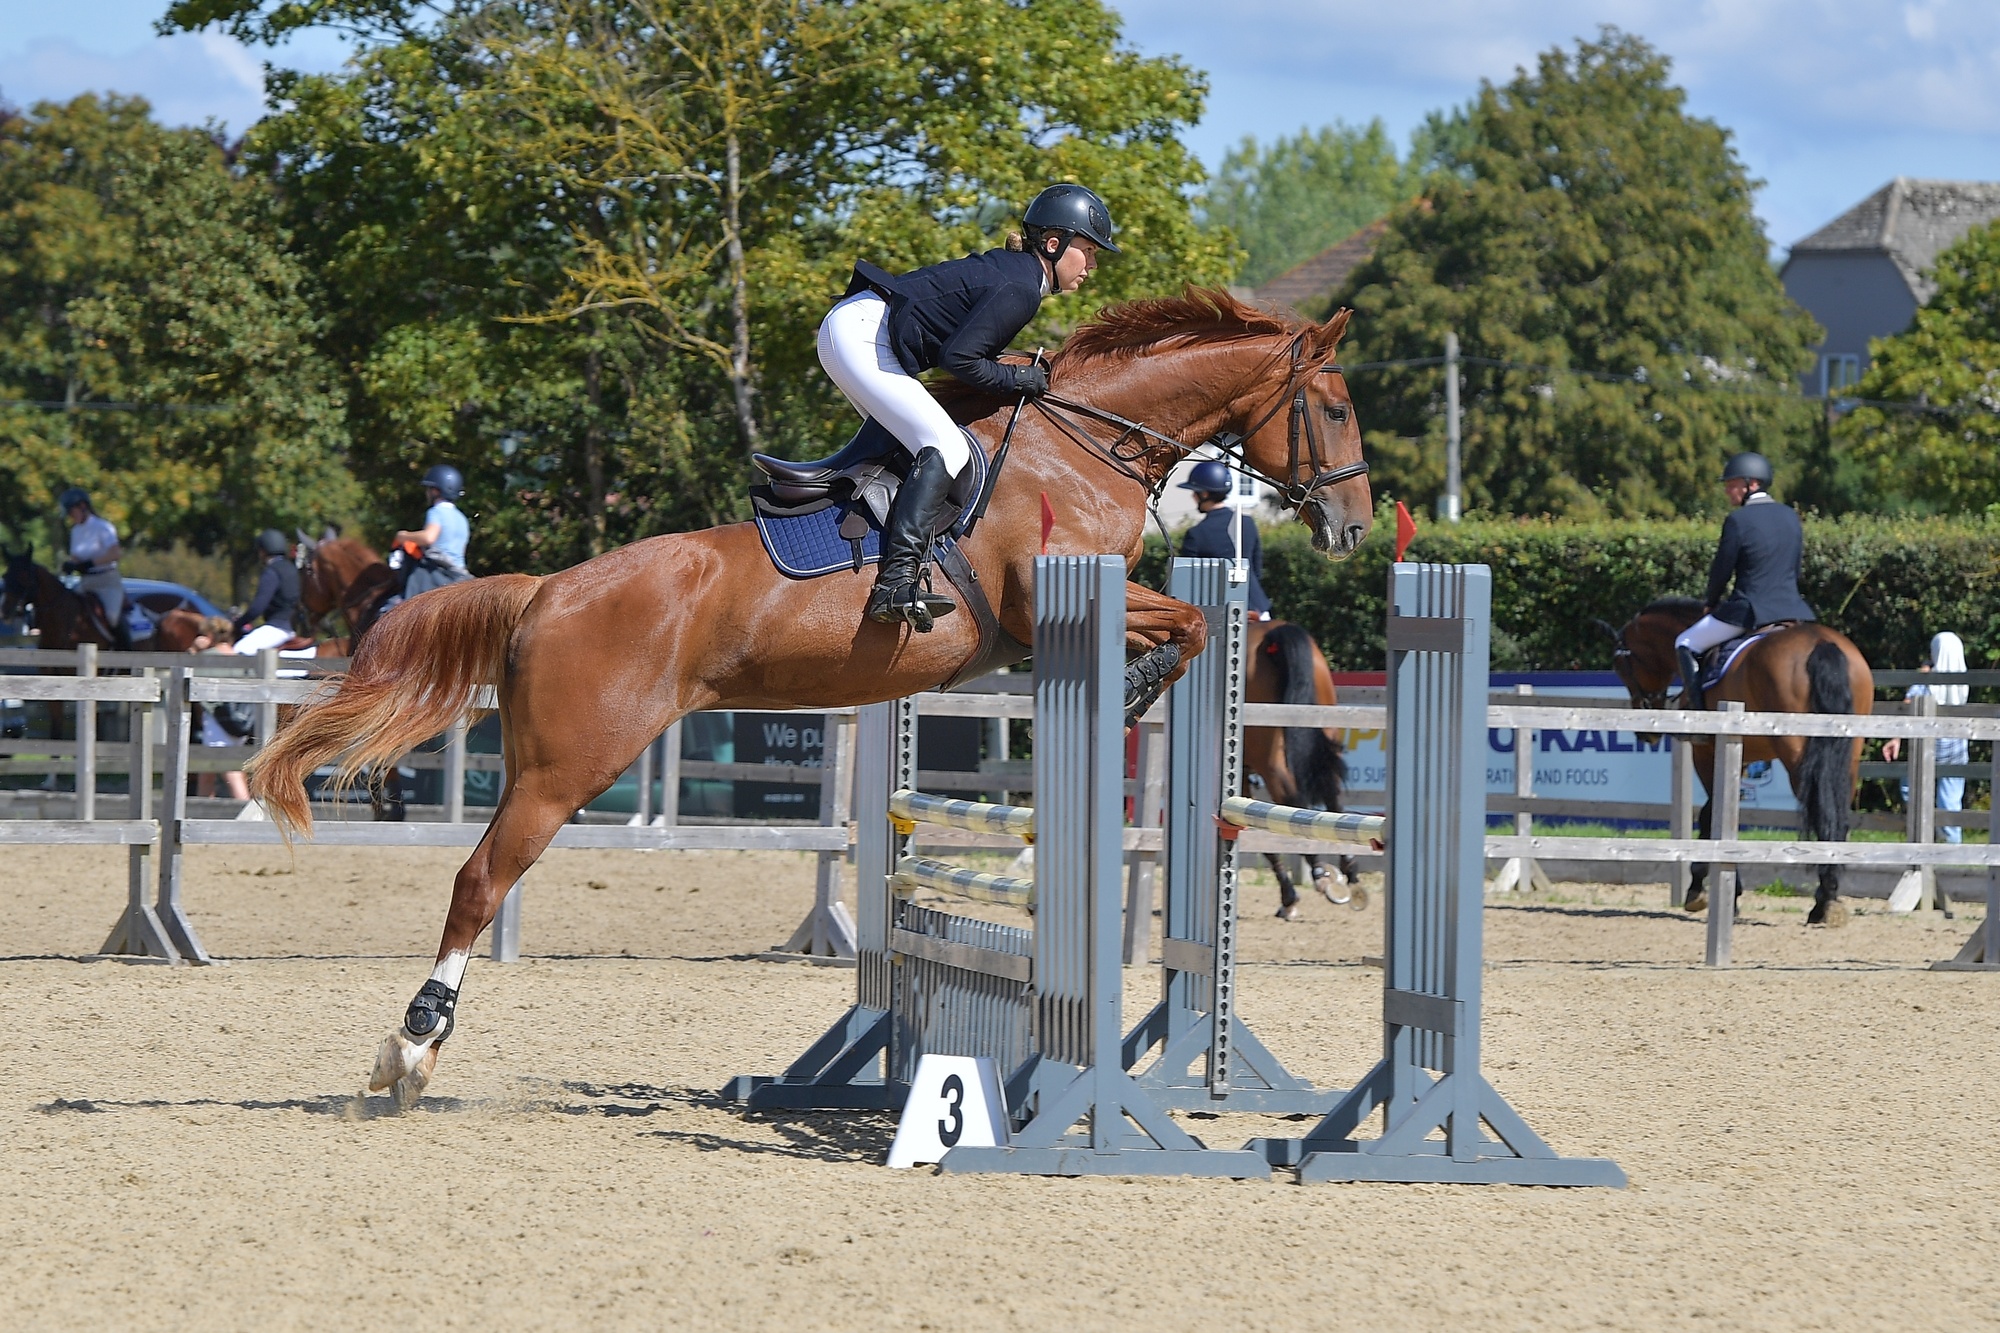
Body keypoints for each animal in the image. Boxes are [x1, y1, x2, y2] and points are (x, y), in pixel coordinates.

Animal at [1244, 619, 1362, 918]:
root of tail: (1272, 634)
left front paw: (1288, 896)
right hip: (1324, 726)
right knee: (1332, 795)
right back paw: (1349, 870)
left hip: (1268, 756)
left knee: (1290, 798)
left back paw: (1319, 873)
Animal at [1611, 596, 1872, 926]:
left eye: (1621, 666)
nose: (1645, 733)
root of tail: (1821, 643)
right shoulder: (1743, 754)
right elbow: (1723, 811)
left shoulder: (1706, 752)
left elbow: (1711, 815)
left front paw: (1703, 890)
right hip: (1848, 755)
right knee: (1837, 815)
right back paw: (1828, 899)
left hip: (1798, 753)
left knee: (1821, 811)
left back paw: (1823, 903)